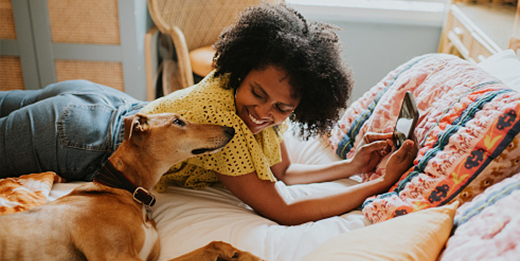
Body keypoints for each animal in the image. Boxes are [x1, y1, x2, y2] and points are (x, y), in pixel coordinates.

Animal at [0, 112, 262, 260]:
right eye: (178, 122)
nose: (231, 129)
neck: (124, 190)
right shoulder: (116, 256)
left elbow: (212, 244)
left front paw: (242, 255)